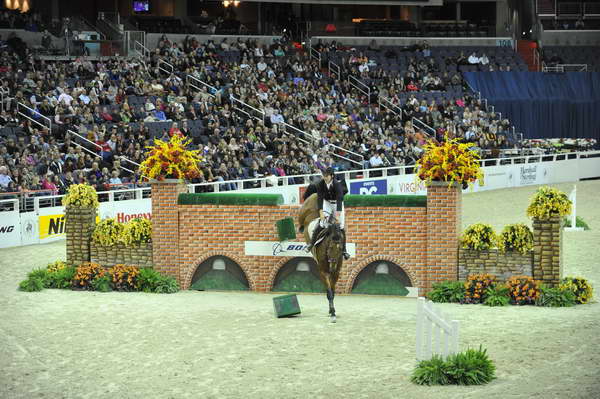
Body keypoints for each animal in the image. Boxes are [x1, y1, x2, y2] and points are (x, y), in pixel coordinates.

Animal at [298, 192, 344, 324]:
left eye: (341, 248)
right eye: (330, 247)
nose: (332, 265)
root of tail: (315, 194)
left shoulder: (336, 273)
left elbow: (332, 292)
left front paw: (332, 311)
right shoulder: (323, 272)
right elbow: (329, 293)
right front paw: (332, 313)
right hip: (303, 212)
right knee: (300, 221)